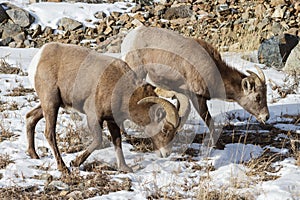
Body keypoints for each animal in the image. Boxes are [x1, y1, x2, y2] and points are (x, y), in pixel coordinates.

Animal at [26, 41, 188, 172]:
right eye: (165, 130)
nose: (166, 154)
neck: (122, 89)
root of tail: (38, 58)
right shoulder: (94, 117)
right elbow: (98, 141)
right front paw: (75, 162)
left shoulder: (112, 121)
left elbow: (117, 142)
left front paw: (125, 168)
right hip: (51, 103)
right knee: (49, 133)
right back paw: (63, 167)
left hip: (51, 104)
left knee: (30, 117)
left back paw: (34, 155)